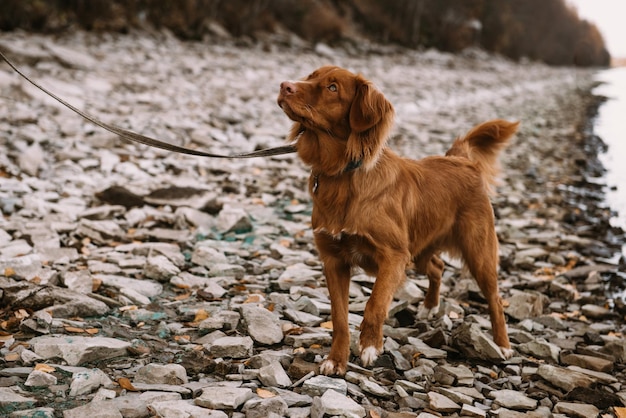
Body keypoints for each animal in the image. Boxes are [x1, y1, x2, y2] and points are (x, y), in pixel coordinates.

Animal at [276, 66, 516, 376]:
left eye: (332, 88)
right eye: (309, 75)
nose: (284, 86)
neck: (343, 174)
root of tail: (463, 161)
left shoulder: (393, 256)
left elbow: (375, 304)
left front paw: (369, 346)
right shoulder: (334, 260)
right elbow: (339, 318)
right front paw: (336, 360)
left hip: (477, 251)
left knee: (495, 298)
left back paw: (502, 345)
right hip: (418, 248)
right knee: (437, 266)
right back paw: (429, 307)